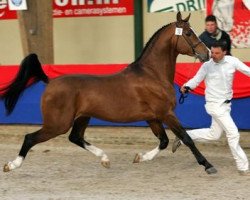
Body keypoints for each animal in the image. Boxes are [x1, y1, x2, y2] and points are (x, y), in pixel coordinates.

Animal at [1, 12, 217, 173]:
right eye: (188, 33)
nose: (206, 54)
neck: (152, 74)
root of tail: (51, 81)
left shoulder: (153, 117)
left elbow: (163, 141)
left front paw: (139, 157)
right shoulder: (166, 113)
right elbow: (186, 138)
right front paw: (208, 165)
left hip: (82, 117)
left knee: (75, 137)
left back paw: (105, 159)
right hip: (57, 124)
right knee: (30, 138)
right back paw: (11, 165)